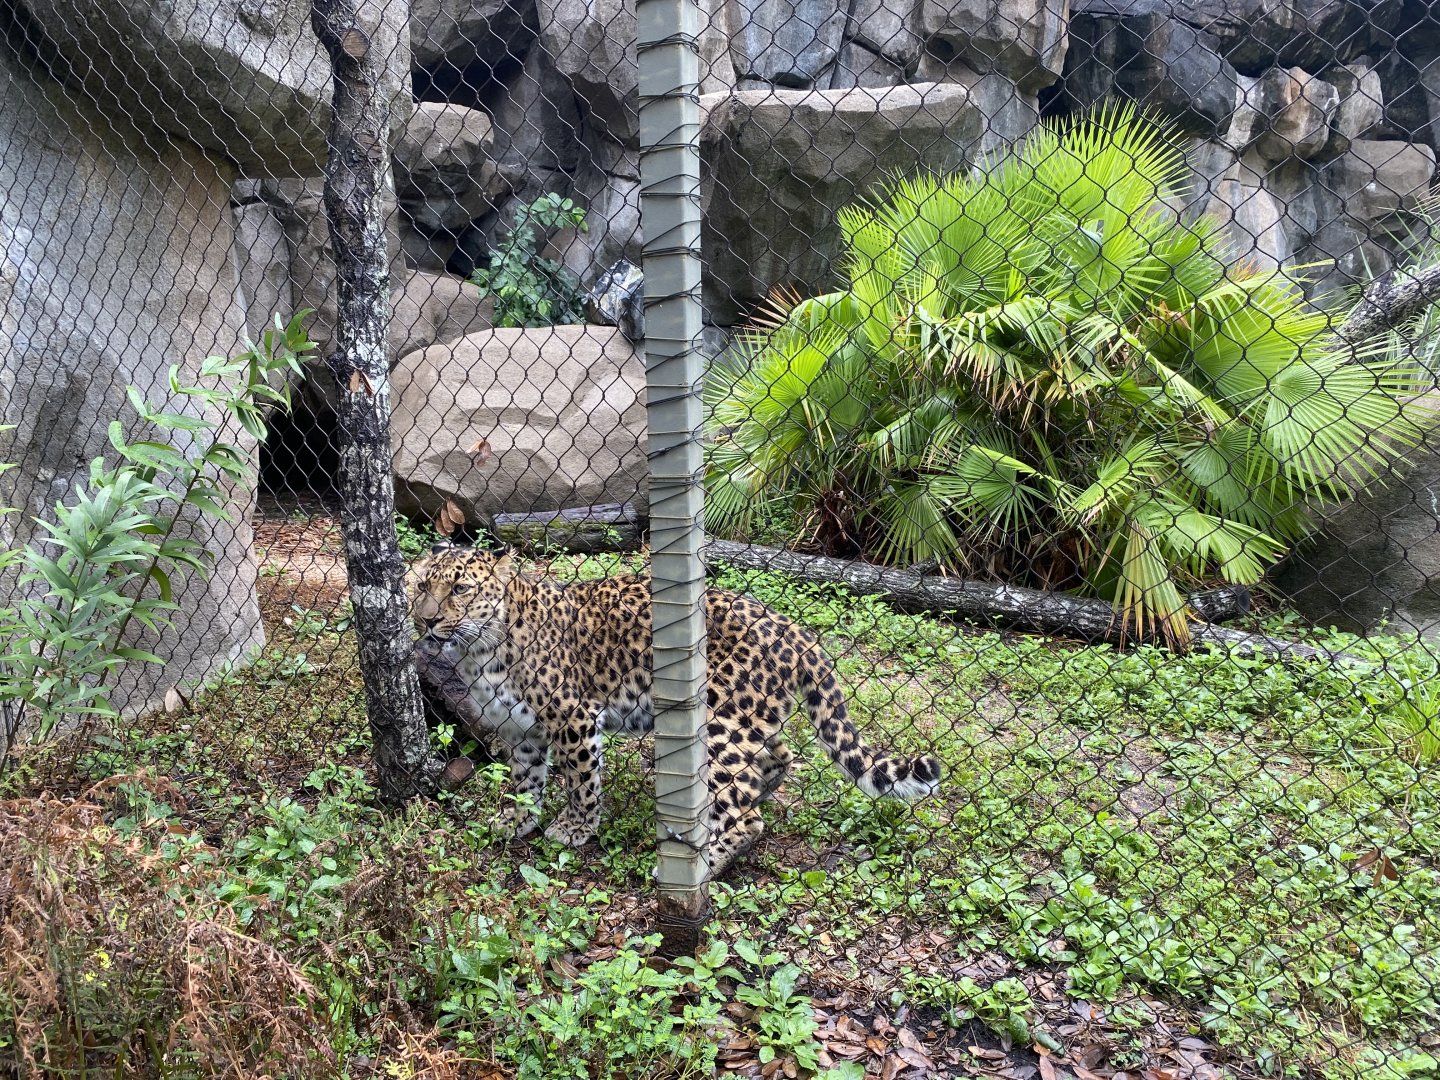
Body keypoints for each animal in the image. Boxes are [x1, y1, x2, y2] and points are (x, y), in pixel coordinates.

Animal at [406, 543, 944, 874]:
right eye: (421, 587)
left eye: (460, 589)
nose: (426, 620)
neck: (478, 650)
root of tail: (792, 628)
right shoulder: (521, 731)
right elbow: (525, 782)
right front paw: (516, 821)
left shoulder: (574, 716)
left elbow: (580, 781)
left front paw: (574, 829)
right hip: (747, 719)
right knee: (778, 757)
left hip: (720, 721)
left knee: (747, 816)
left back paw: (705, 860)